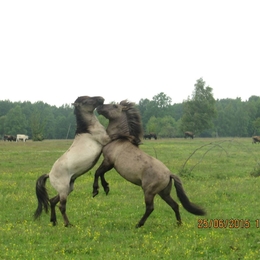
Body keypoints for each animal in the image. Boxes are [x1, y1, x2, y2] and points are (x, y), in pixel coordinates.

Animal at [33, 95, 110, 225]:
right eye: (86, 100)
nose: (101, 98)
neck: (88, 129)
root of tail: (49, 174)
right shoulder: (106, 139)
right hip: (64, 190)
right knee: (61, 206)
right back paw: (68, 224)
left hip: (68, 188)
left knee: (52, 201)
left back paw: (54, 221)